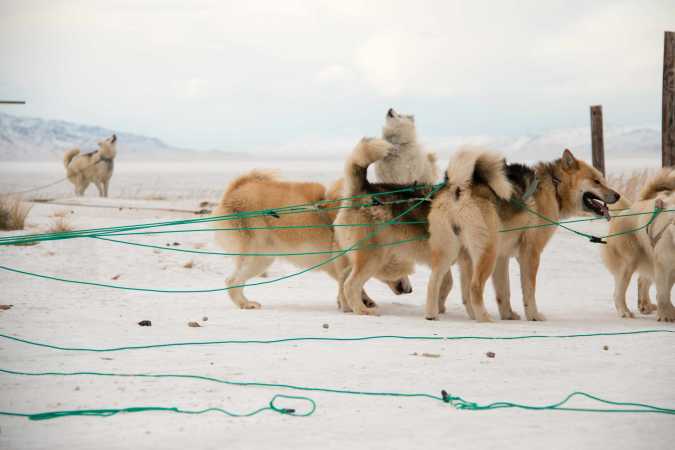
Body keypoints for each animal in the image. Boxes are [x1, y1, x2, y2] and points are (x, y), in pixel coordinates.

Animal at [604, 167, 675, 322]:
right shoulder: (664, 264)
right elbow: (663, 293)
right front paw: (666, 315)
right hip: (628, 262)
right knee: (618, 292)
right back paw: (625, 312)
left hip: (648, 257)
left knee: (642, 281)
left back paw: (645, 305)